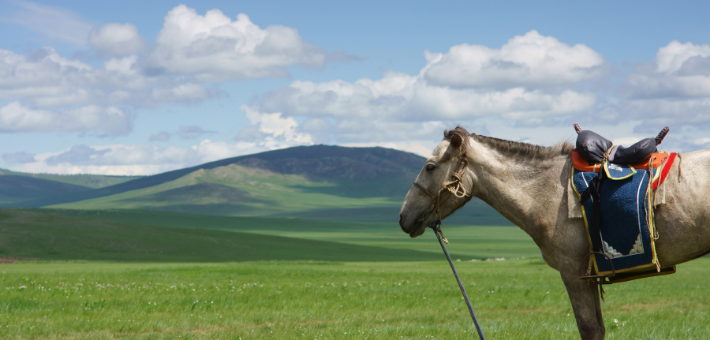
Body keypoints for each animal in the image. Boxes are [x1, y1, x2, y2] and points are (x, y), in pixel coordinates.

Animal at [400, 127, 710, 340]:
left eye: (430, 167)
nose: (403, 217)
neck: (546, 191)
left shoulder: (573, 270)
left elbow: (590, 329)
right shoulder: (587, 273)